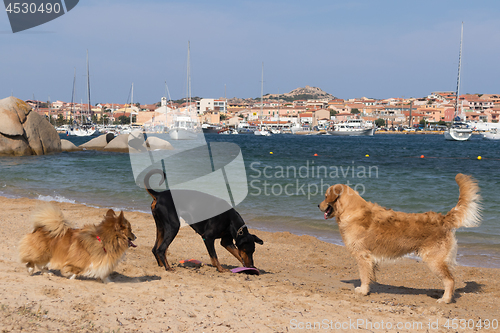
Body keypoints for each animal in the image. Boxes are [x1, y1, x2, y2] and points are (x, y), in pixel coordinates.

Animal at [318, 172, 482, 302]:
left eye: (325, 197)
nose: (318, 205)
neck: (351, 210)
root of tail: (443, 218)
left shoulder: (362, 256)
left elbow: (363, 275)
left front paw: (363, 291)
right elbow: (370, 275)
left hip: (434, 260)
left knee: (450, 280)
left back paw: (445, 299)